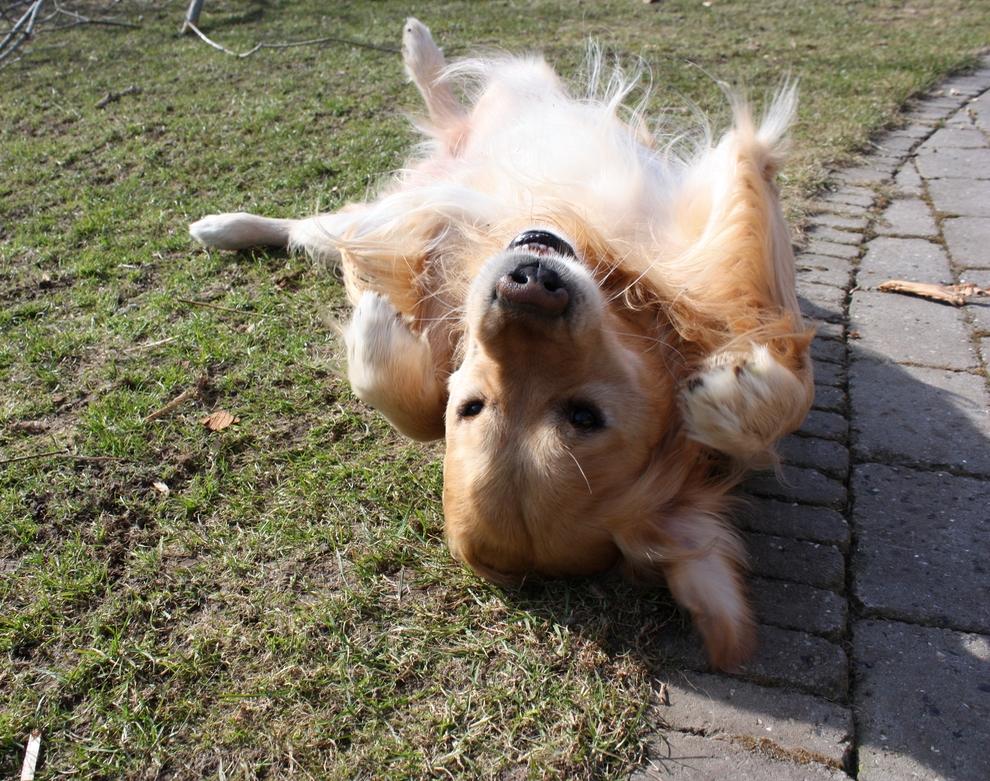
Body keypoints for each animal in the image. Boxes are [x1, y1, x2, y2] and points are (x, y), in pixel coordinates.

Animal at [190, 18, 816, 668]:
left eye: (584, 416)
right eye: (471, 406)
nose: (528, 285)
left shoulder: (731, 245)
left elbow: (789, 366)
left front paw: (731, 400)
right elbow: (414, 406)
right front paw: (376, 324)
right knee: (334, 214)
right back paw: (228, 223)